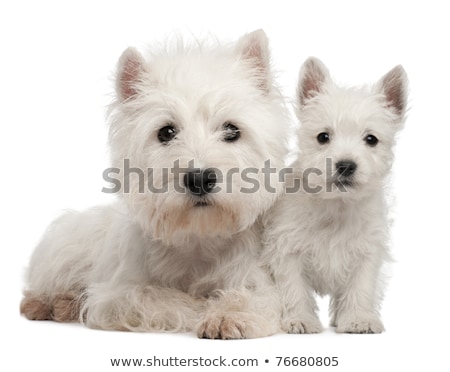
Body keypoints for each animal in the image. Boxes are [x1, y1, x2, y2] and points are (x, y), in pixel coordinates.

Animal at [20, 31, 288, 340]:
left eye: (231, 130)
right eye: (166, 132)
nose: (199, 178)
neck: (199, 239)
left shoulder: (258, 280)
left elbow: (251, 296)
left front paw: (228, 315)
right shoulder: (118, 295)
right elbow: (159, 297)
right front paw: (203, 305)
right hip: (65, 244)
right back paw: (50, 303)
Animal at [264, 57, 408, 334]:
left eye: (371, 139)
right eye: (323, 137)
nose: (346, 165)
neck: (336, 206)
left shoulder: (367, 252)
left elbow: (361, 287)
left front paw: (359, 318)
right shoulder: (287, 250)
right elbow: (294, 288)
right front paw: (300, 319)